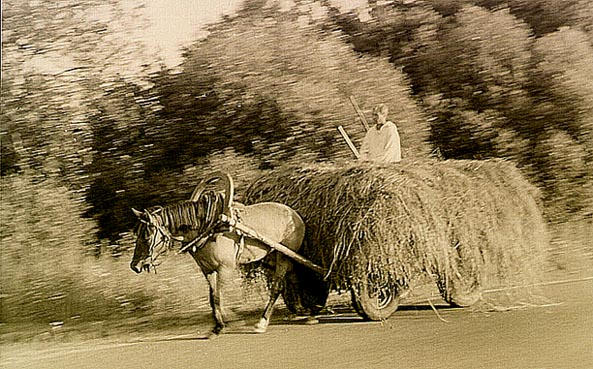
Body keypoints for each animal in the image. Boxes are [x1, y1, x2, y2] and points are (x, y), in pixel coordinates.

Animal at [130, 183, 306, 334]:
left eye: (147, 236)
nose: (135, 265)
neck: (209, 228)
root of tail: (296, 216)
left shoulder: (225, 268)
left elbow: (218, 296)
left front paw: (228, 322)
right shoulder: (207, 269)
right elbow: (212, 297)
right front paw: (219, 325)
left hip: (284, 255)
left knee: (277, 286)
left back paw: (263, 321)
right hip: (273, 257)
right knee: (293, 277)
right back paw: (302, 311)